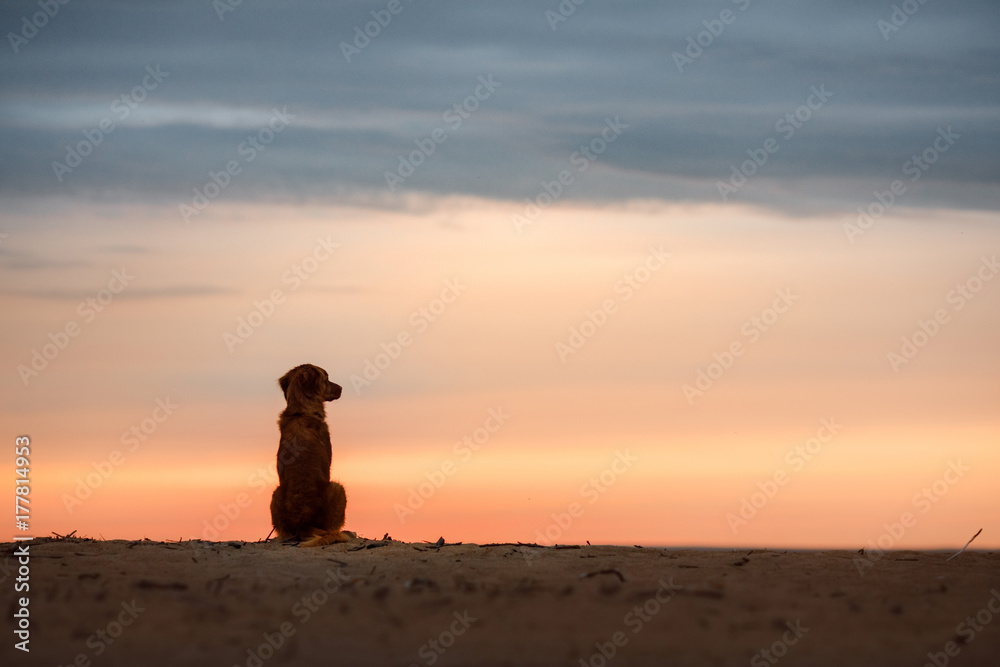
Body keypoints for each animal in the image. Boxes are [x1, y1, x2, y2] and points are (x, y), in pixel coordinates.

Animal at [270, 366, 352, 548]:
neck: (301, 412)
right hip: (338, 488)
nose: (342, 388)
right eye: (326, 378)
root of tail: (304, 524)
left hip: (275, 493)